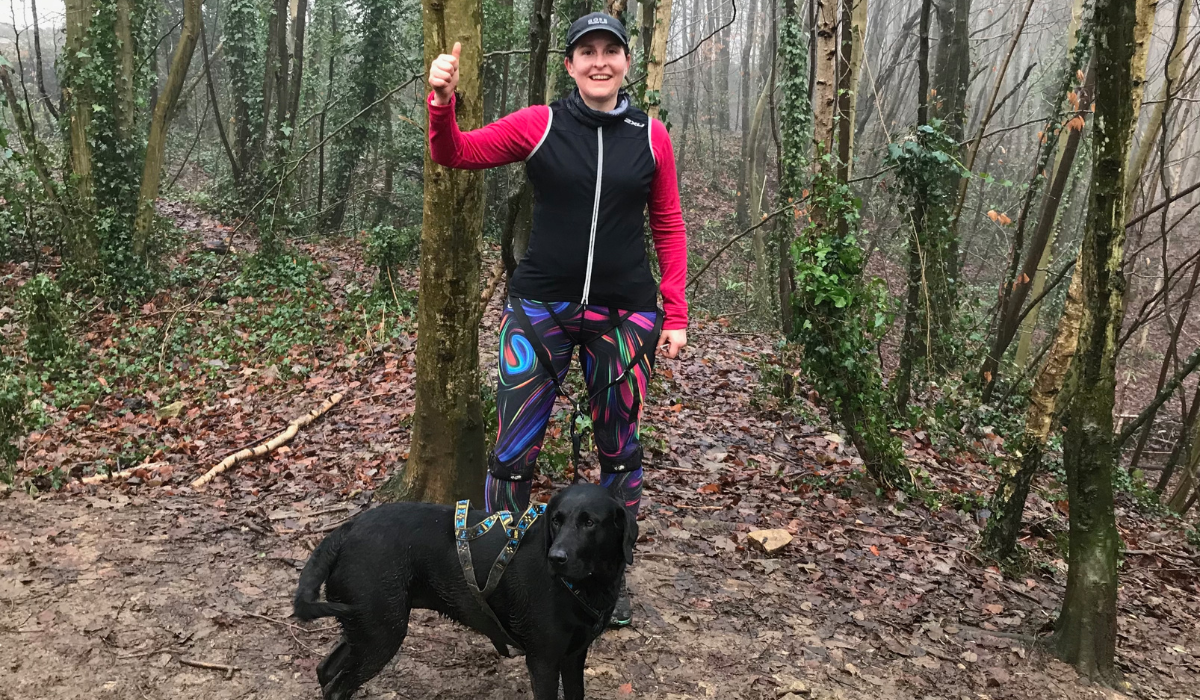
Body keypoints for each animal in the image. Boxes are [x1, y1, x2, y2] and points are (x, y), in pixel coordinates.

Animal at [291, 485, 638, 696]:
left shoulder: (574, 656)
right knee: (337, 686)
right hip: (381, 634)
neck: (586, 586)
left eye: (590, 522)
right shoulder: (543, 661)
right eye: (556, 520)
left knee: (325, 670)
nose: (556, 557)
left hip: (366, 627)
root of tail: (345, 530)